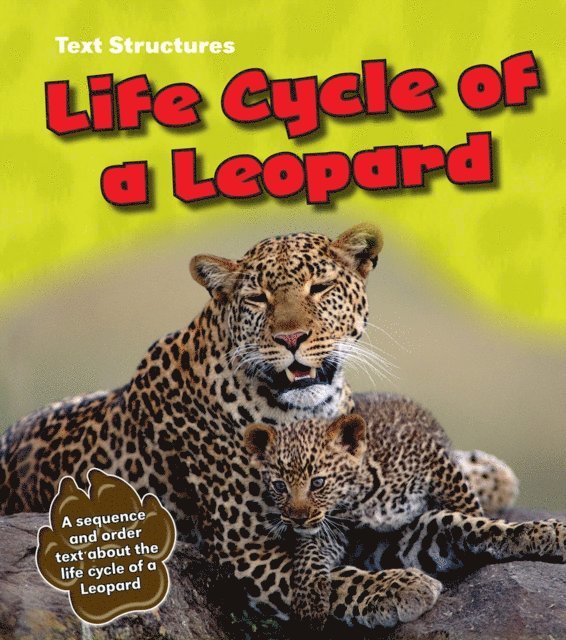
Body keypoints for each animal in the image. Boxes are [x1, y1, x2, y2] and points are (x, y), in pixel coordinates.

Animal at [0, 224, 524, 628]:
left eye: (320, 288)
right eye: (257, 298)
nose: (291, 338)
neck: (306, 413)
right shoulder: (248, 552)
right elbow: (329, 581)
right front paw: (398, 587)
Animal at [244, 402, 565, 629]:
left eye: (318, 482)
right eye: (279, 486)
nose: (297, 519)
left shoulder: (429, 474)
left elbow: (466, 519)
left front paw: (548, 534)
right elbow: (321, 565)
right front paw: (311, 600)